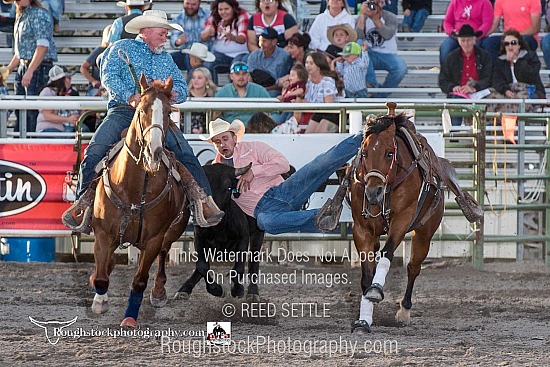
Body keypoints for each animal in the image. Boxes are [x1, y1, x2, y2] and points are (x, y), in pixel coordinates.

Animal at [89, 76, 191, 330]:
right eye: (142, 109)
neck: (134, 189)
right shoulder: (102, 232)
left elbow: (139, 281)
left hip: (173, 229)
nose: (154, 152)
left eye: (168, 112)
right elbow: (102, 278)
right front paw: (100, 302)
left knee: (164, 253)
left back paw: (159, 292)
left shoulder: (153, 239)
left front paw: (129, 318)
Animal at [354, 103, 484, 334]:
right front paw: (364, 320)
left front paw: (376, 291)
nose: (372, 192)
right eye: (365, 153)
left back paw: (404, 310)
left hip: (424, 234)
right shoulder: (361, 228)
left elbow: (387, 254)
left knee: (413, 268)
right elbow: (366, 274)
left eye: (389, 153)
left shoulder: (402, 219)